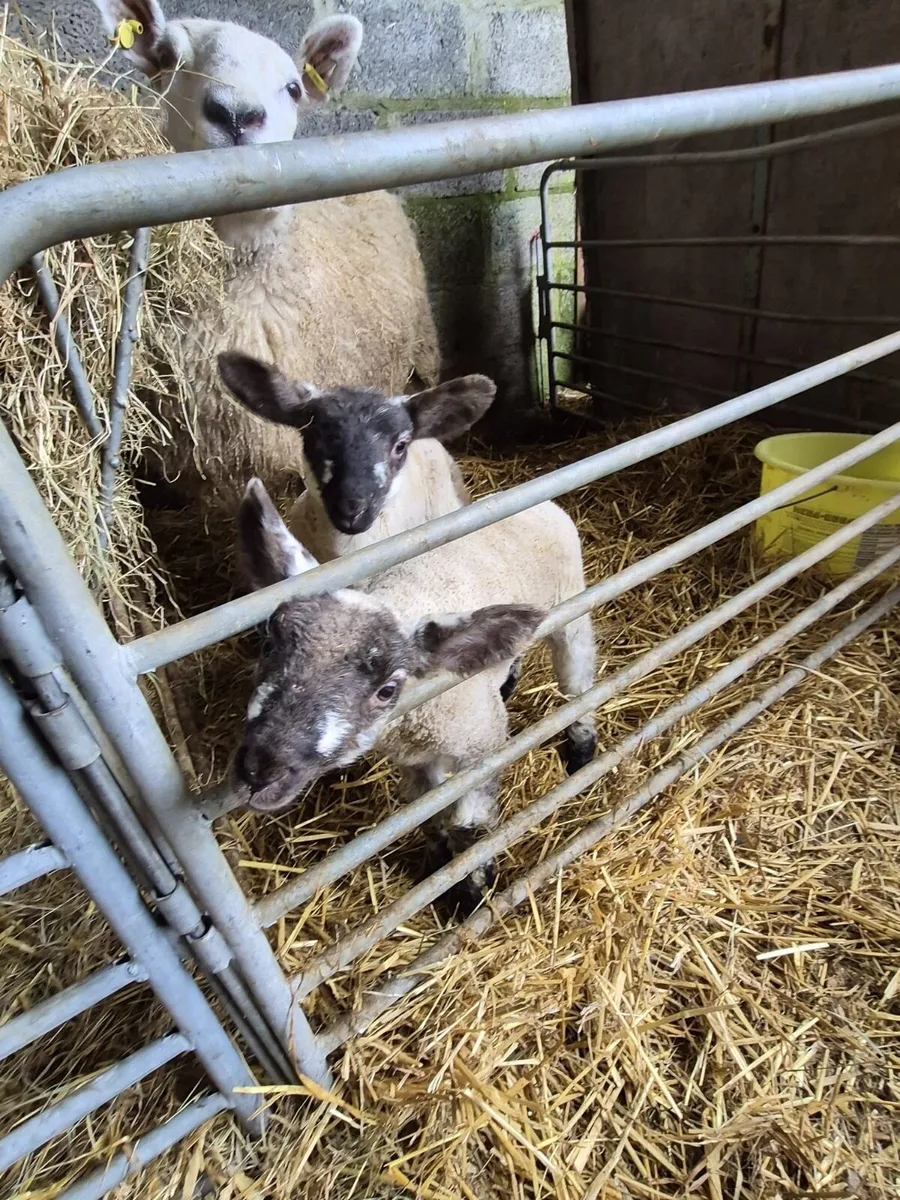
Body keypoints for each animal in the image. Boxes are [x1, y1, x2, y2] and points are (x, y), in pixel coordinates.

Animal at [228, 399, 597, 914]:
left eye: (387, 689)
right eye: (269, 642)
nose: (260, 770)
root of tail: (539, 502)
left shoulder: (480, 747)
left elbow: (470, 829)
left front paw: (471, 894)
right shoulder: (416, 759)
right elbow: (428, 816)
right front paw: (438, 866)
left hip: (570, 609)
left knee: (578, 683)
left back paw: (582, 748)